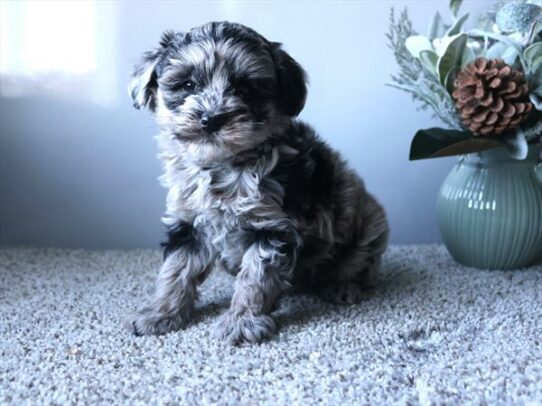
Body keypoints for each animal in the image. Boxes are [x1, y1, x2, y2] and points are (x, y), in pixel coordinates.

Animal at [127, 21, 392, 346]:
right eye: (188, 85)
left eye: (245, 88)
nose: (211, 120)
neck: (222, 165)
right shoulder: (188, 224)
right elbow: (175, 271)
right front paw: (160, 313)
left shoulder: (271, 227)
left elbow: (255, 278)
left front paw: (241, 321)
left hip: (369, 222)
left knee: (361, 263)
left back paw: (343, 286)